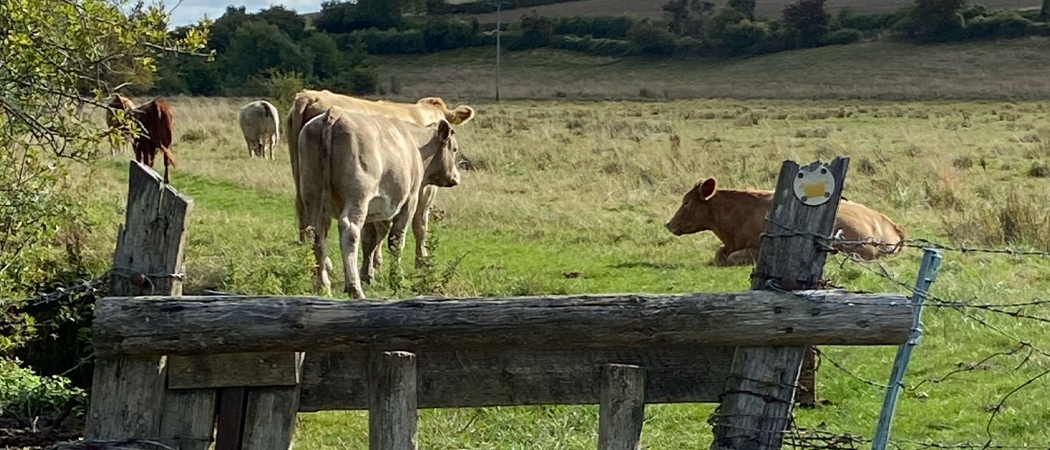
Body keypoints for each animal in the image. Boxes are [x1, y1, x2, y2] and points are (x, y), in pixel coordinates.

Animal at [297, 105, 461, 298]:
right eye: (454, 149)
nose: (456, 177)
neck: (415, 145)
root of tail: (334, 113)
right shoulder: (410, 200)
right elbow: (397, 240)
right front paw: (396, 278)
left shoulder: (373, 210)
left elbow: (370, 241)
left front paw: (368, 275)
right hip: (357, 197)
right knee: (350, 231)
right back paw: (354, 288)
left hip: (312, 195)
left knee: (317, 235)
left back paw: (323, 286)